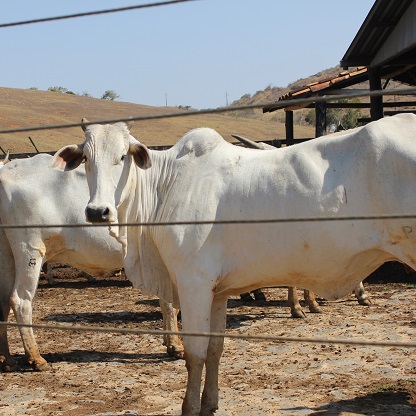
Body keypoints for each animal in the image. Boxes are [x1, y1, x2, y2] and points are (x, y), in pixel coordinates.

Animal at [0, 154, 183, 372]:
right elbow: (172, 305)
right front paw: (177, 346)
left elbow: (166, 303)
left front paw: (170, 343)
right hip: (30, 249)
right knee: (20, 301)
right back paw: (35, 358)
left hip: (7, 257)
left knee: (3, 302)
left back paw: (7, 359)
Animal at [52, 112, 416, 414]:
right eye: (86, 158)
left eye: (123, 156)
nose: (97, 211)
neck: (164, 187)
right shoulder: (218, 291)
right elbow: (216, 348)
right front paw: (210, 403)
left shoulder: (194, 283)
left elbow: (196, 352)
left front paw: (190, 407)